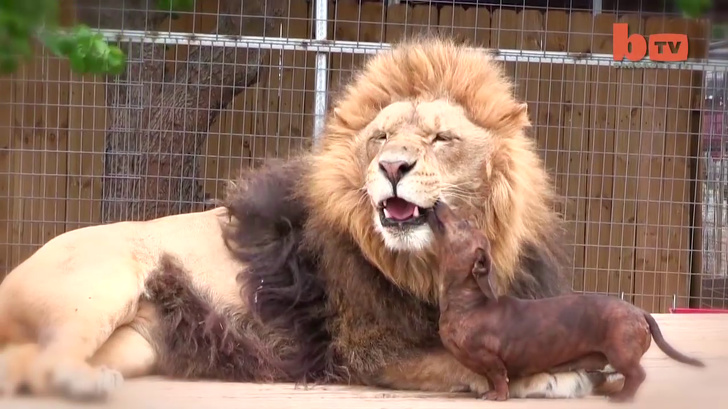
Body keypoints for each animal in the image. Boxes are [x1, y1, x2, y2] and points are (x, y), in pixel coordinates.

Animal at [0, 35, 621, 401]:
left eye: (442, 139)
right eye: (381, 138)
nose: (391, 167)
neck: (430, 260)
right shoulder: (368, 350)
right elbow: (460, 360)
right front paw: (550, 374)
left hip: (137, 343)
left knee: (25, 362)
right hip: (98, 287)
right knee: (49, 359)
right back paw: (83, 382)